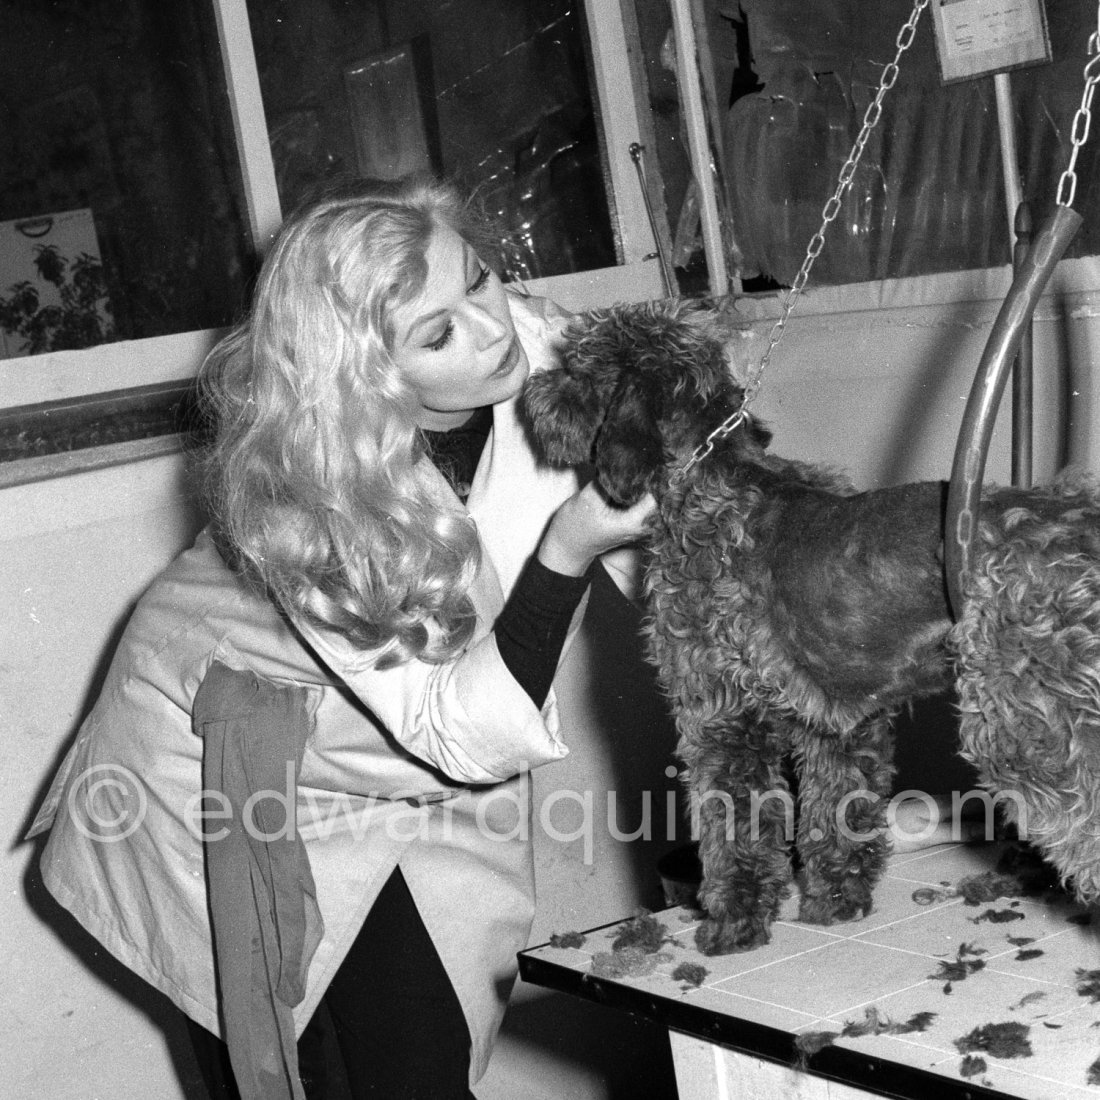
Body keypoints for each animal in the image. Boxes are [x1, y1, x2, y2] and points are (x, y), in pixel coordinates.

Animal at [519, 299, 1100, 954]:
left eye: (577, 367)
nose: (532, 391)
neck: (714, 477)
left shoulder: (719, 717)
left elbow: (734, 827)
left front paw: (732, 923)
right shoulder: (837, 721)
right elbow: (835, 816)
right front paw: (835, 903)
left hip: (1031, 733)